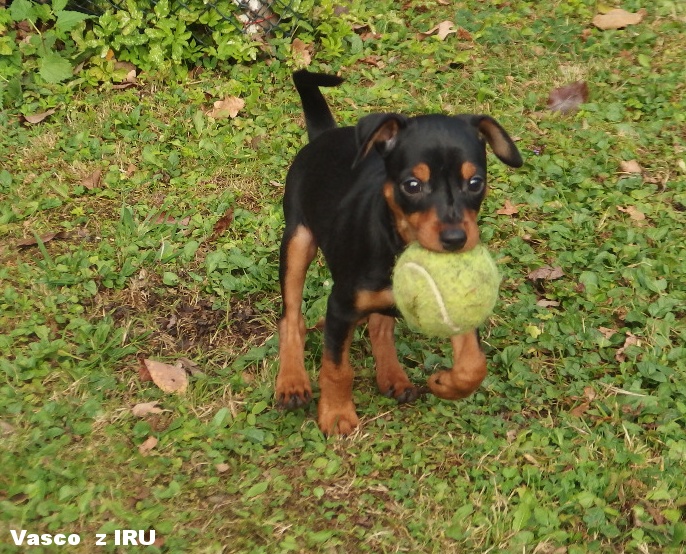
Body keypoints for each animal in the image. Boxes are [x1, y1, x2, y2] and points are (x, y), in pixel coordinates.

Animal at [274, 69, 520, 434]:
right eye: (412, 185)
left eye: (475, 182)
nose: (455, 239)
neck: (398, 241)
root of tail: (325, 134)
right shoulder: (340, 308)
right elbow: (337, 368)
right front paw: (336, 414)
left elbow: (473, 365)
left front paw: (445, 383)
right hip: (297, 241)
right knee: (292, 318)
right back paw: (291, 381)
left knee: (380, 325)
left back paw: (392, 376)